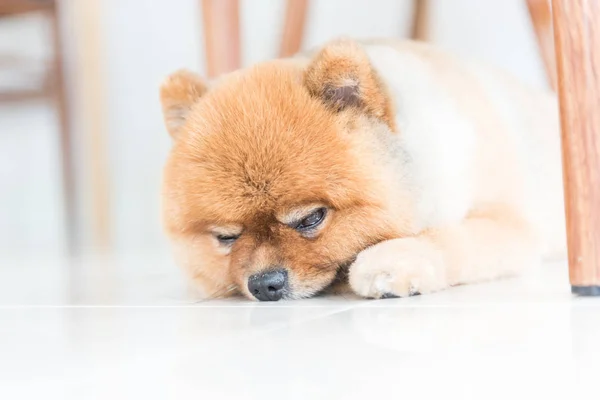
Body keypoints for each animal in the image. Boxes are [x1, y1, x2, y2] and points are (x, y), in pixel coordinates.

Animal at [158, 39, 564, 302]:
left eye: (311, 219)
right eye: (226, 237)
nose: (263, 284)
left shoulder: (509, 222)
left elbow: (448, 237)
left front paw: (393, 260)